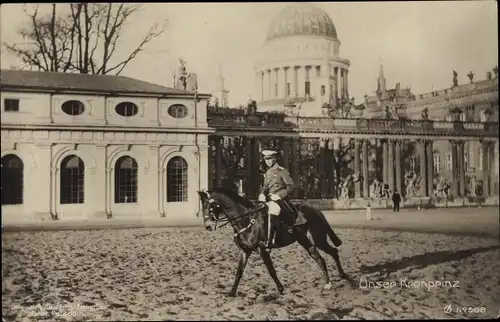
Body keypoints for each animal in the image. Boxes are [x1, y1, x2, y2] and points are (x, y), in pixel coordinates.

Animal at [195, 189, 352, 296]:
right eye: (202, 206)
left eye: (210, 206)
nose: (208, 226)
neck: (247, 220)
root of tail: (317, 211)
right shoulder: (244, 251)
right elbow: (239, 272)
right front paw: (232, 293)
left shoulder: (262, 250)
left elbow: (271, 270)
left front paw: (281, 289)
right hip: (306, 241)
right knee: (321, 257)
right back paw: (335, 280)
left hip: (318, 239)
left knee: (331, 252)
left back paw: (334, 281)